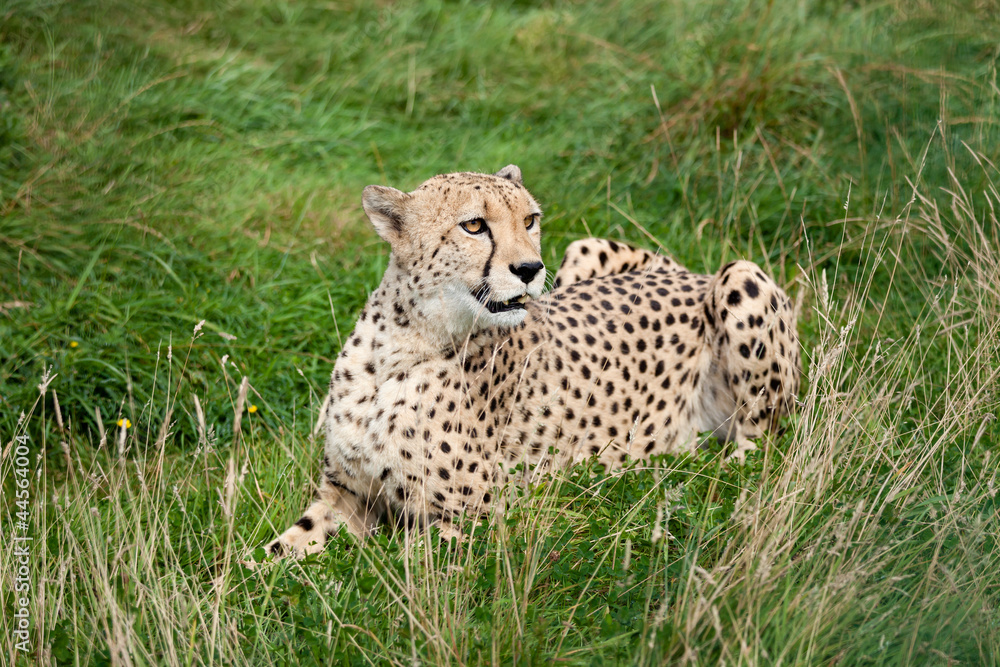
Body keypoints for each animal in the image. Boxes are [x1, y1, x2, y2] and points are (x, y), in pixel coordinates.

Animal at [264, 164, 800, 558]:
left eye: (530, 221)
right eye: (474, 225)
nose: (530, 268)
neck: (405, 343)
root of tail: (689, 271)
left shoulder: (475, 516)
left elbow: (395, 561)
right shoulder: (344, 493)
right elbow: (280, 548)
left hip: (741, 276)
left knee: (761, 447)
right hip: (587, 249)